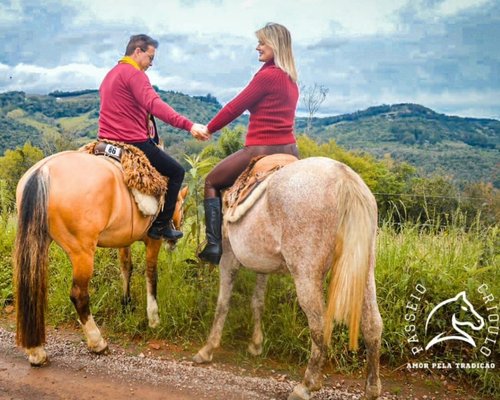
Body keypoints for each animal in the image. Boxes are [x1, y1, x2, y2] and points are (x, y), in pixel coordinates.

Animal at [15, 148, 188, 366]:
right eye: (181, 207)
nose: (174, 238)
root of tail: (43, 171)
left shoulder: (123, 238)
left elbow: (126, 267)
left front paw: (126, 304)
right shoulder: (152, 240)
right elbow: (151, 274)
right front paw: (154, 318)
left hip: (37, 241)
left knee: (32, 285)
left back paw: (36, 351)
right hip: (82, 252)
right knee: (79, 295)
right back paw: (97, 343)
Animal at [195, 156, 382, 400]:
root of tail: (345, 178)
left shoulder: (229, 259)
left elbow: (223, 304)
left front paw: (207, 349)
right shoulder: (262, 266)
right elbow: (257, 302)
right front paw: (256, 345)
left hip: (306, 273)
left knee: (320, 325)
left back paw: (307, 385)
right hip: (365, 269)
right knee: (373, 324)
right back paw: (372, 389)